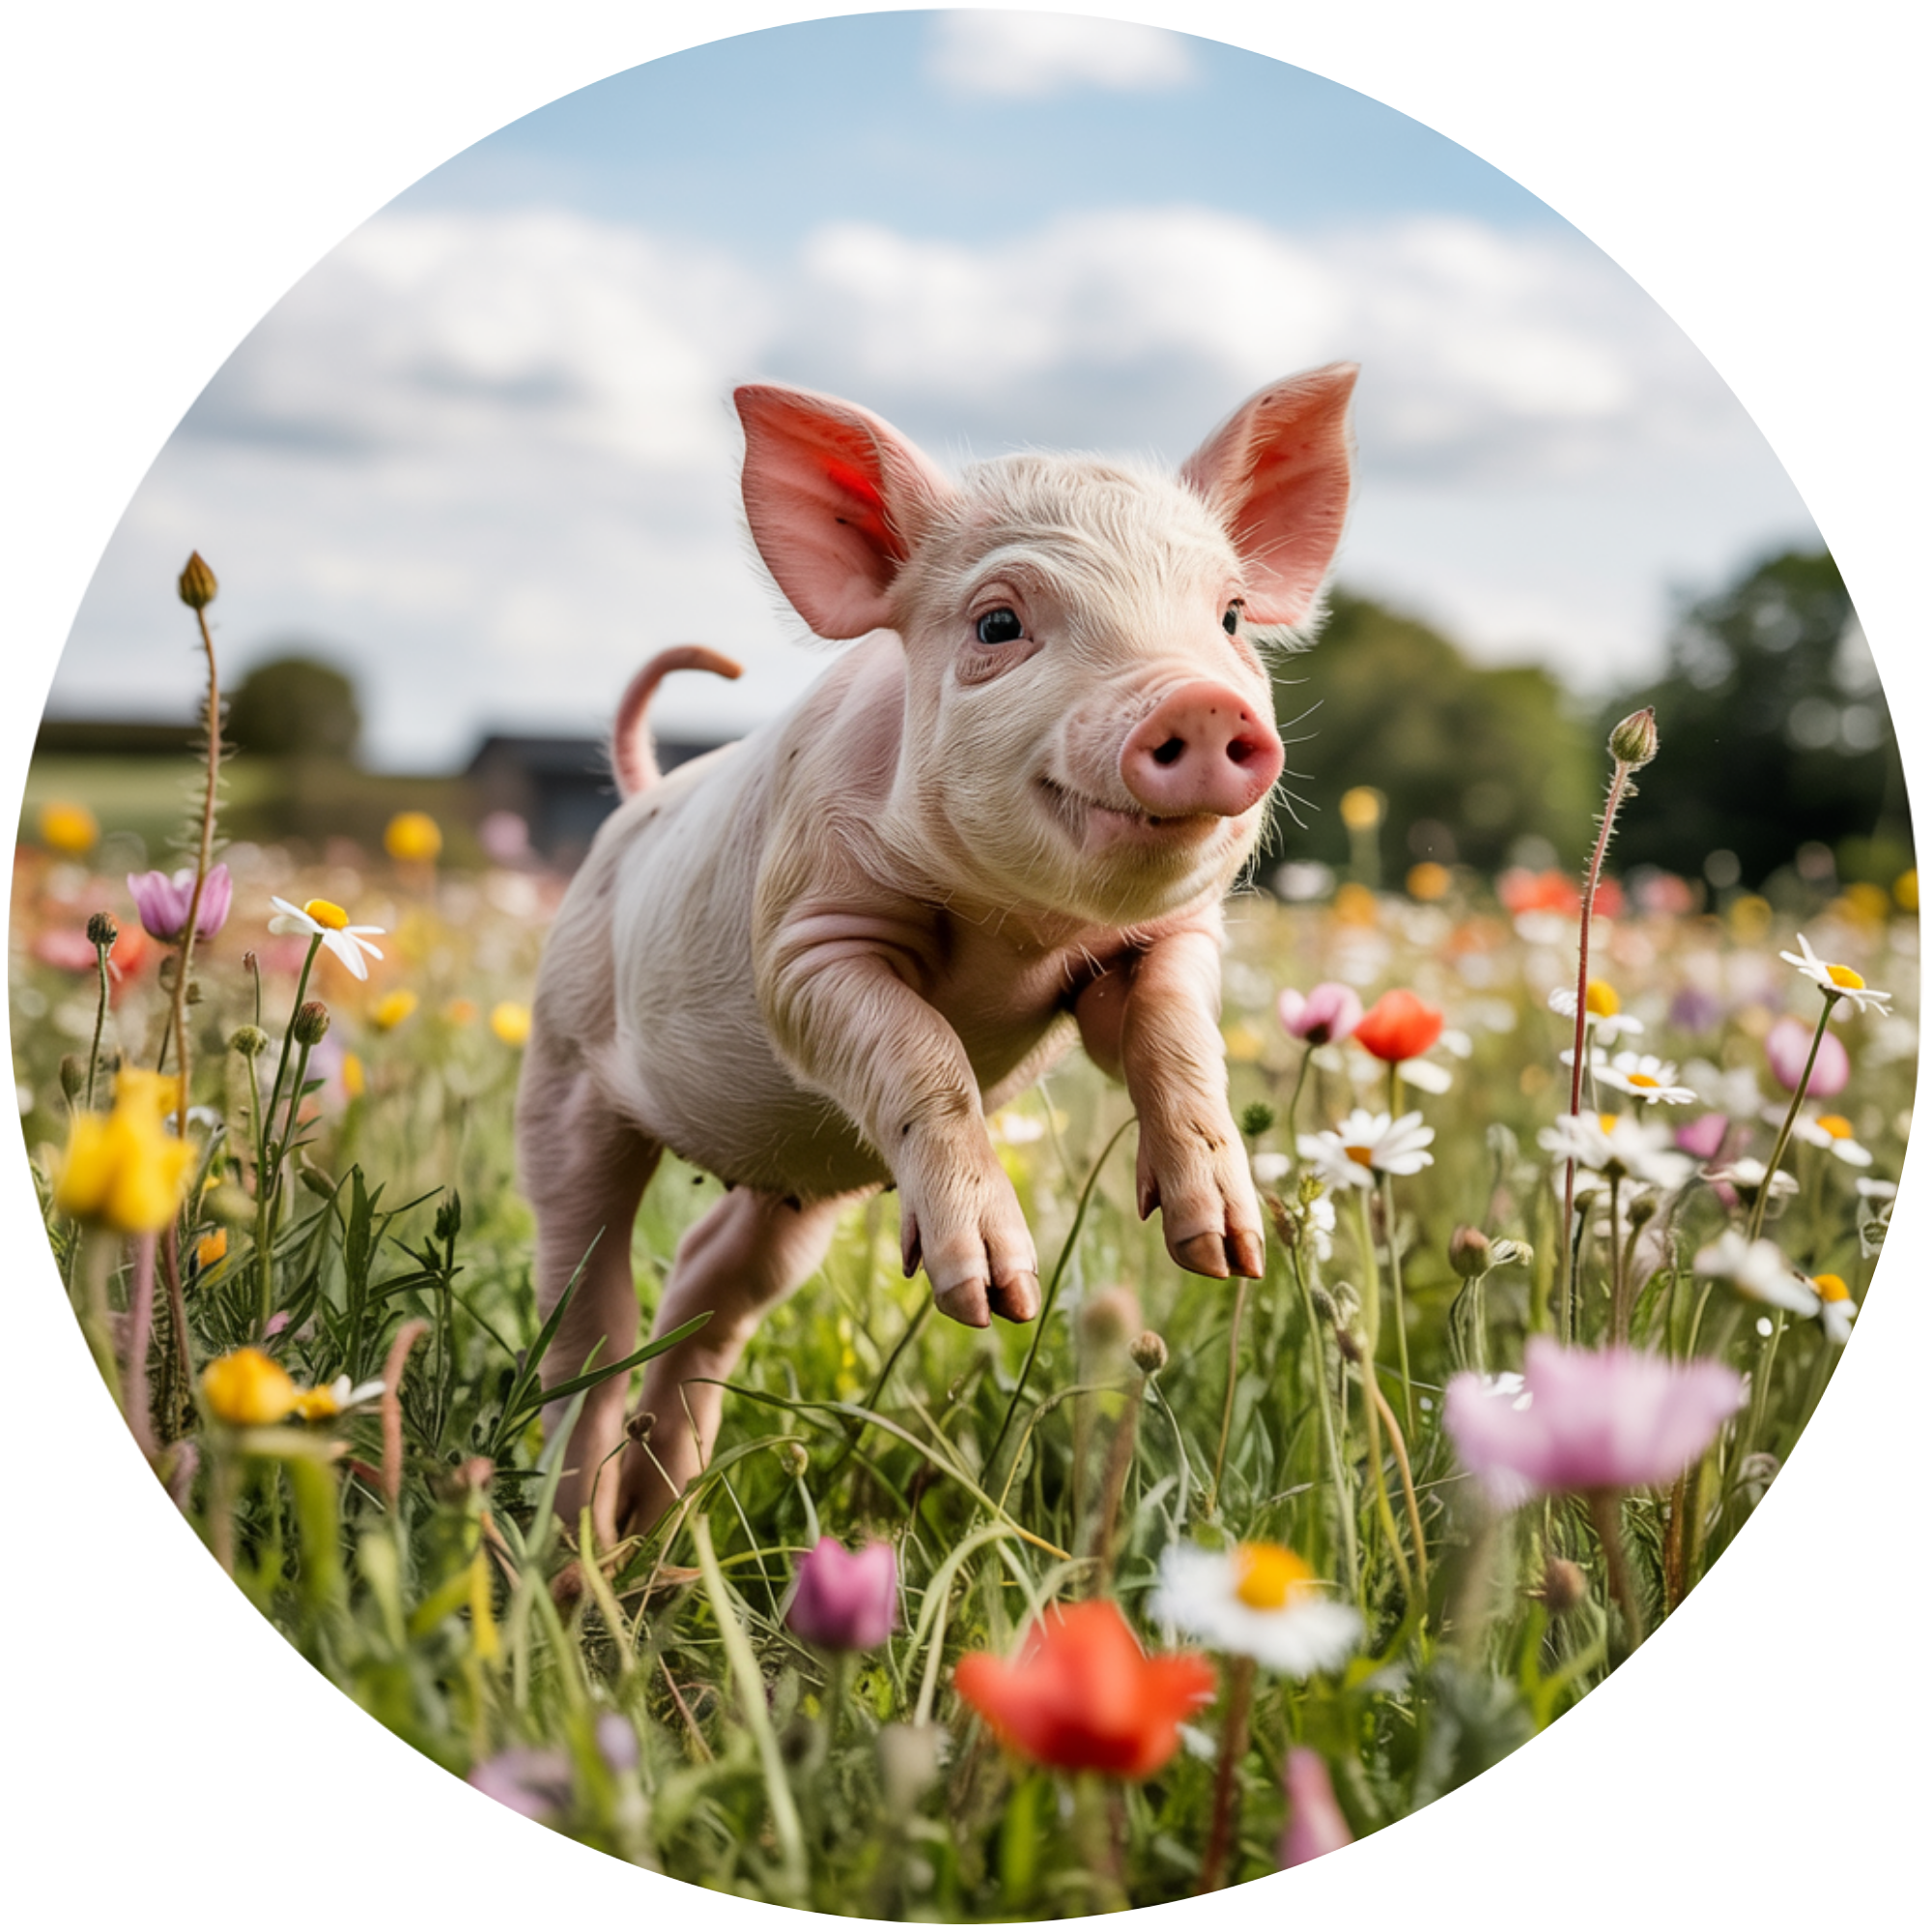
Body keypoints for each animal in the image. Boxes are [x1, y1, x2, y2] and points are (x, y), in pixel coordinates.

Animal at [517, 364, 1357, 1547]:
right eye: (999, 621)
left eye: (1230, 615)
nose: (1196, 698)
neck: (1018, 934)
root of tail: (640, 799)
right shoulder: (804, 941)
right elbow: (917, 1045)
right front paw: (994, 1299)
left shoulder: (1161, 943)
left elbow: (1171, 1034)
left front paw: (1223, 1249)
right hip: (561, 1075)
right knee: (587, 1317)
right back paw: (573, 1549)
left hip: (799, 1179)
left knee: (712, 1282)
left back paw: (658, 1533)